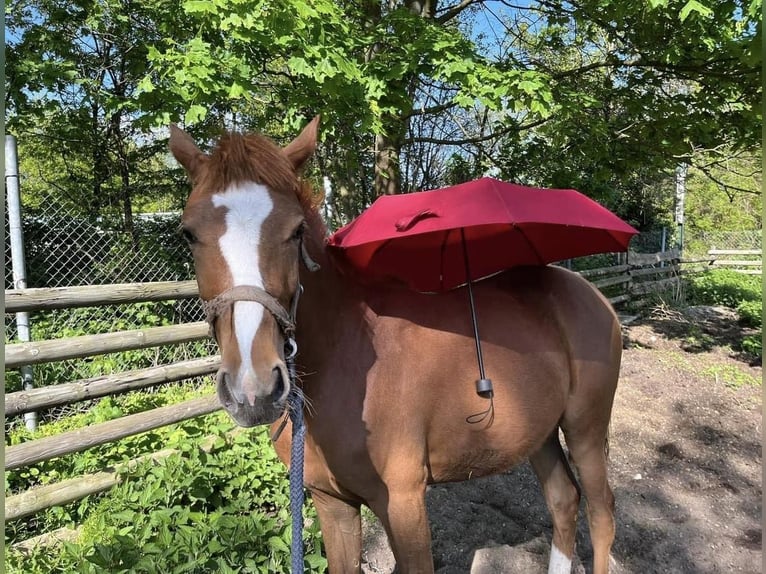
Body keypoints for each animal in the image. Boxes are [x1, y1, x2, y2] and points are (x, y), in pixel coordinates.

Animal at [170, 118, 624, 574]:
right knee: (563, 500)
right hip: (540, 432)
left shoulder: (404, 503)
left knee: (601, 513)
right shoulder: (331, 502)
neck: (347, 362)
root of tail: (593, 295)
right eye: (188, 233)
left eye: (296, 231)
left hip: (584, 429)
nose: (254, 388)